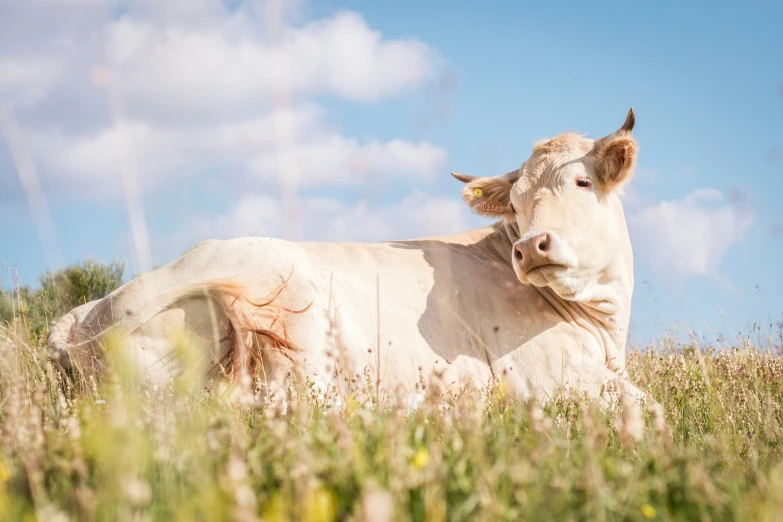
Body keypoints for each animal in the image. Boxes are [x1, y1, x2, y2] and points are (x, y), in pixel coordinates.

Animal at [47, 108, 644, 402]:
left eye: (583, 182)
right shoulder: (555, 377)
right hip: (293, 322)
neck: (603, 329)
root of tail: (89, 317)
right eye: (515, 205)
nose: (529, 246)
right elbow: (646, 409)